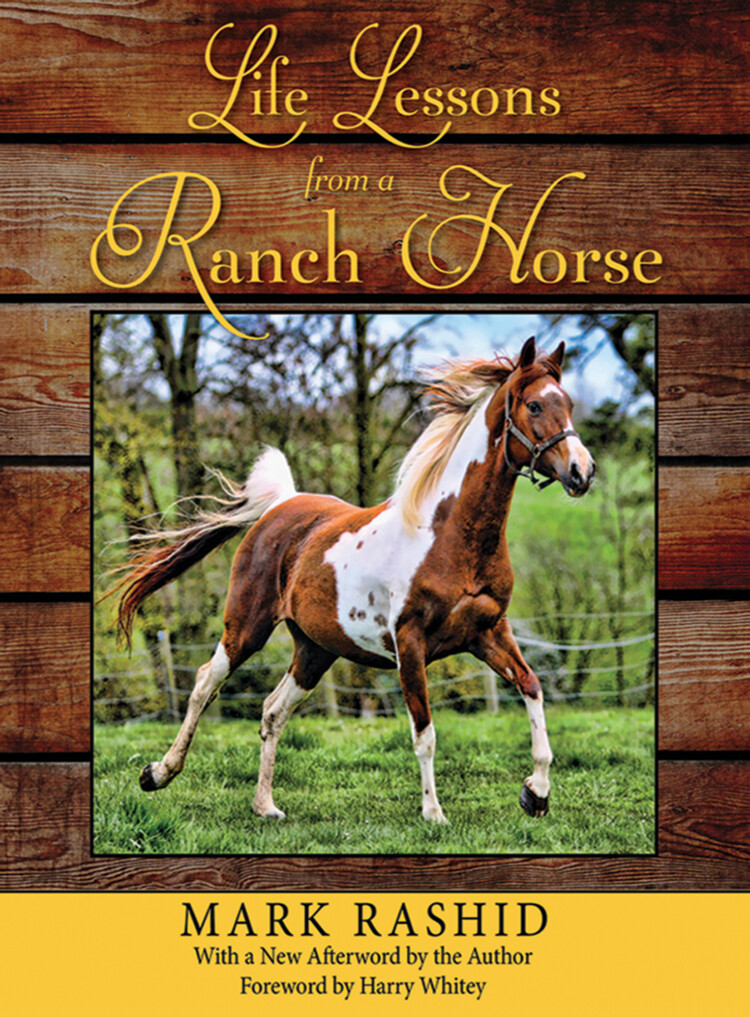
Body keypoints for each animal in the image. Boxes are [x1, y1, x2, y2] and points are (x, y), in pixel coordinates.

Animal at [113, 336, 596, 823]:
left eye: (568, 403)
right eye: (534, 405)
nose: (583, 471)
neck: (451, 535)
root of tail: (281, 504)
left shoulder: (490, 632)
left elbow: (532, 688)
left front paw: (536, 793)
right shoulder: (411, 645)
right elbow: (425, 734)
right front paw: (434, 814)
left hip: (314, 648)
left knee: (271, 712)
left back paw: (265, 805)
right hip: (246, 628)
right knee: (203, 684)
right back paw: (157, 774)